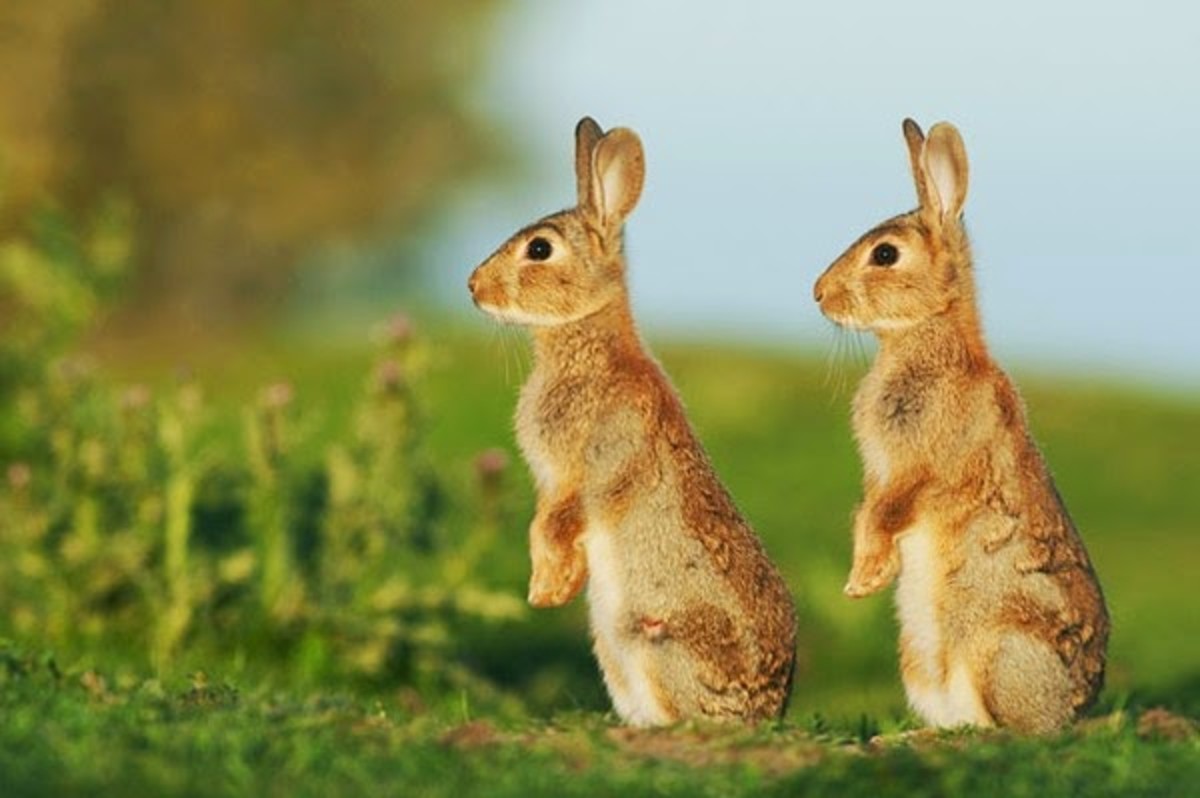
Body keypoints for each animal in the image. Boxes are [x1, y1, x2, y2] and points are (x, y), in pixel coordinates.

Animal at [468, 117, 796, 729]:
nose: (473, 287)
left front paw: (545, 591)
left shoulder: (589, 467)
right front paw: (555, 588)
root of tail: (764, 711)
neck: (585, 341)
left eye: (540, 249)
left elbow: (554, 522)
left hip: (652, 642)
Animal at [811, 118, 1108, 734]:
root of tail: (1074, 709)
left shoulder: (920, 469)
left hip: (996, 651)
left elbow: (886, 513)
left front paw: (862, 582)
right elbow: (866, 512)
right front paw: (870, 579)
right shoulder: (880, 472)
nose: (818, 294)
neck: (926, 334)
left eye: (885, 254)